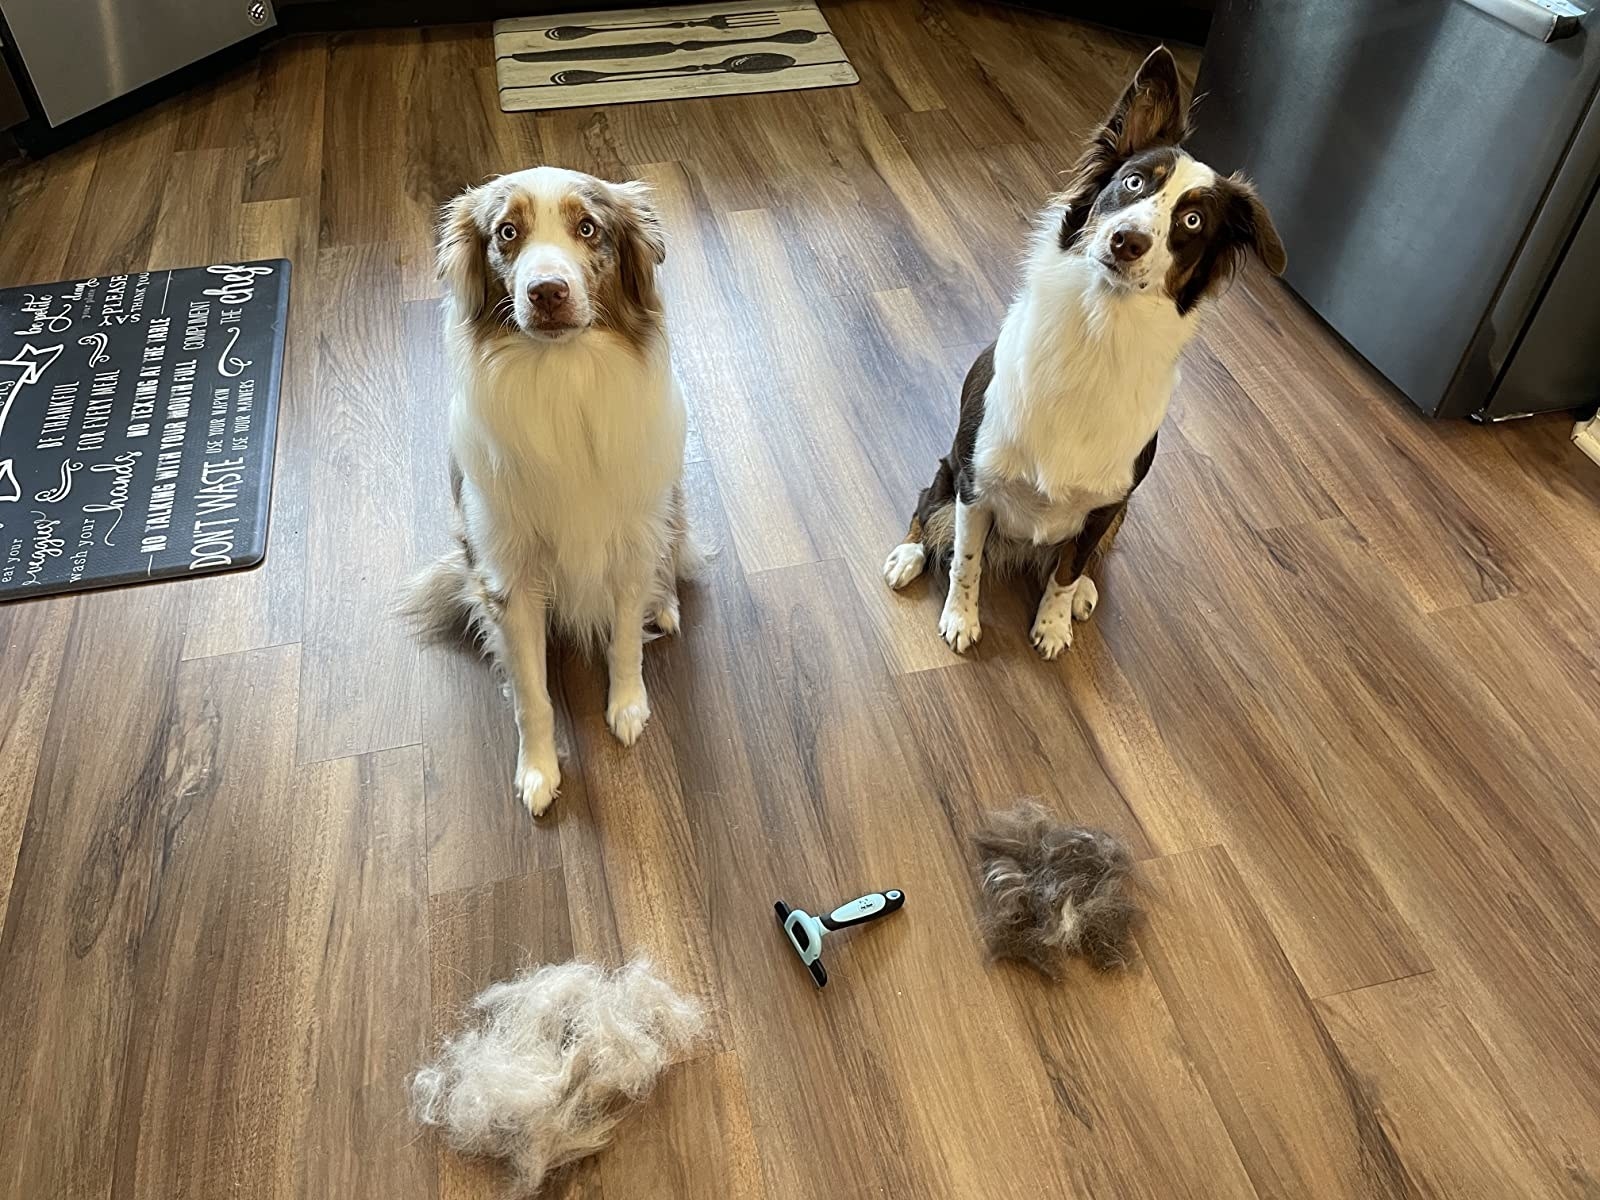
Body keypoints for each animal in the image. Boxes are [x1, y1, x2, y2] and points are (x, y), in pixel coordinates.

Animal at [406, 167, 694, 819]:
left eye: (587, 228)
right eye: (507, 232)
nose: (546, 292)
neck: (564, 379)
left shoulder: (632, 537)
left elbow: (624, 641)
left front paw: (628, 709)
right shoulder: (507, 574)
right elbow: (530, 693)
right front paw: (538, 773)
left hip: (670, 499)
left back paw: (664, 604)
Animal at [883, 49, 1280, 659]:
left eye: (1192, 221)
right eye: (1133, 181)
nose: (1127, 241)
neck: (1099, 333)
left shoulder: (1105, 505)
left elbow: (1068, 568)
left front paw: (1052, 624)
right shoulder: (976, 483)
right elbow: (966, 564)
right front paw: (960, 619)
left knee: (1081, 560)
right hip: (950, 465)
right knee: (929, 508)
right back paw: (908, 554)